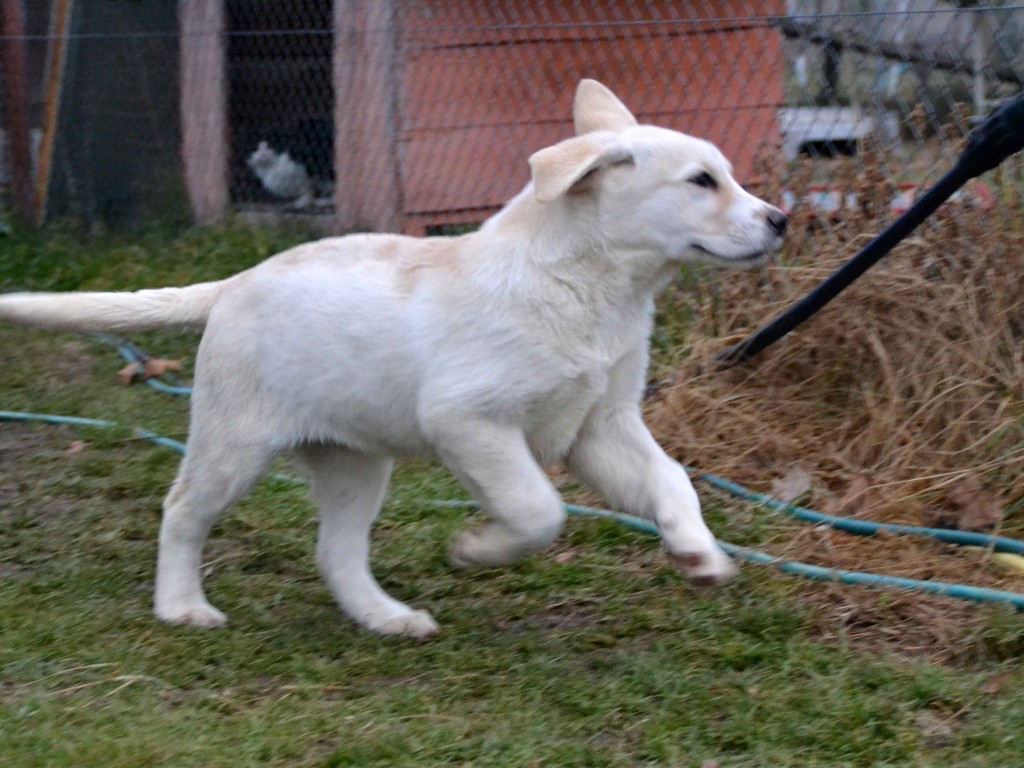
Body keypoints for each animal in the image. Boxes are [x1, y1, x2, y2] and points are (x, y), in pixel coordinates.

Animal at [0, 81, 782, 638]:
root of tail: (237, 280)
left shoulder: (602, 424)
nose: (781, 220)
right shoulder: (470, 421)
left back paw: (387, 618)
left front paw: (698, 555)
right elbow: (539, 508)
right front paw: (478, 549)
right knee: (182, 510)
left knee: (336, 553)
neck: (594, 286)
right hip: (233, 442)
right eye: (702, 182)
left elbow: (673, 480)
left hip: (355, 462)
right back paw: (182, 606)